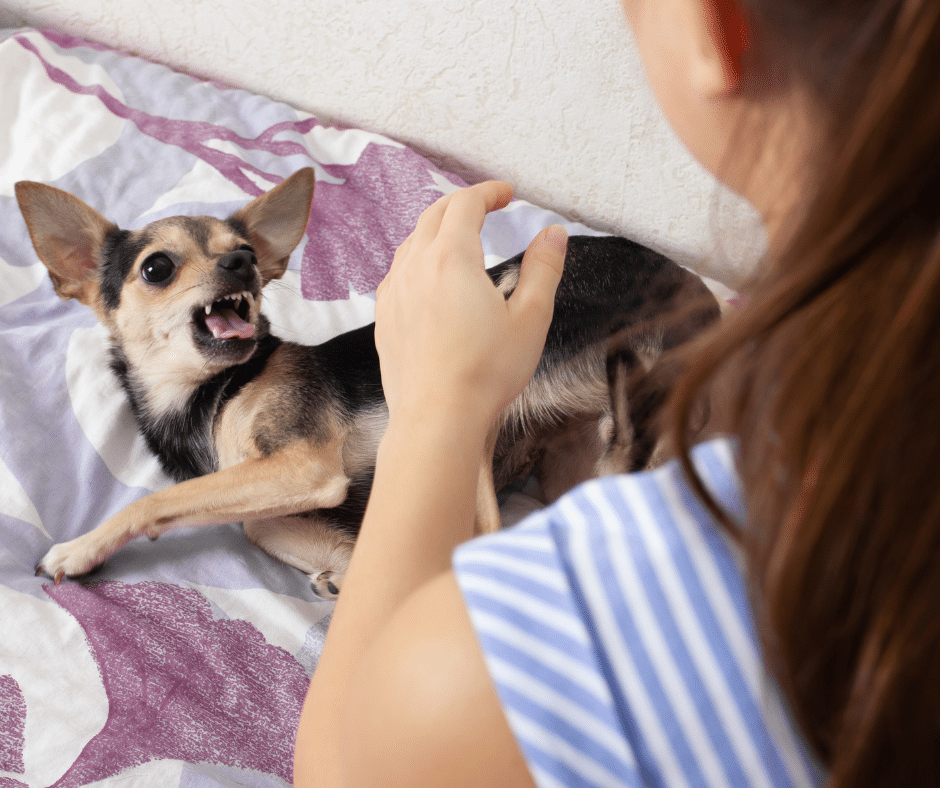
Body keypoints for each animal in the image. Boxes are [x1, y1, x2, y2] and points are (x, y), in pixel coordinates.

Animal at [16, 168, 720, 596]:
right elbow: (267, 527)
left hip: (501, 327)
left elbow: (157, 502)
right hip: (568, 463)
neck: (211, 397)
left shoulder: (306, 463)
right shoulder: (284, 499)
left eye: (243, 251)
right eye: (156, 268)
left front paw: (79, 548)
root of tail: (704, 305)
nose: (242, 261)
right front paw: (349, 570)